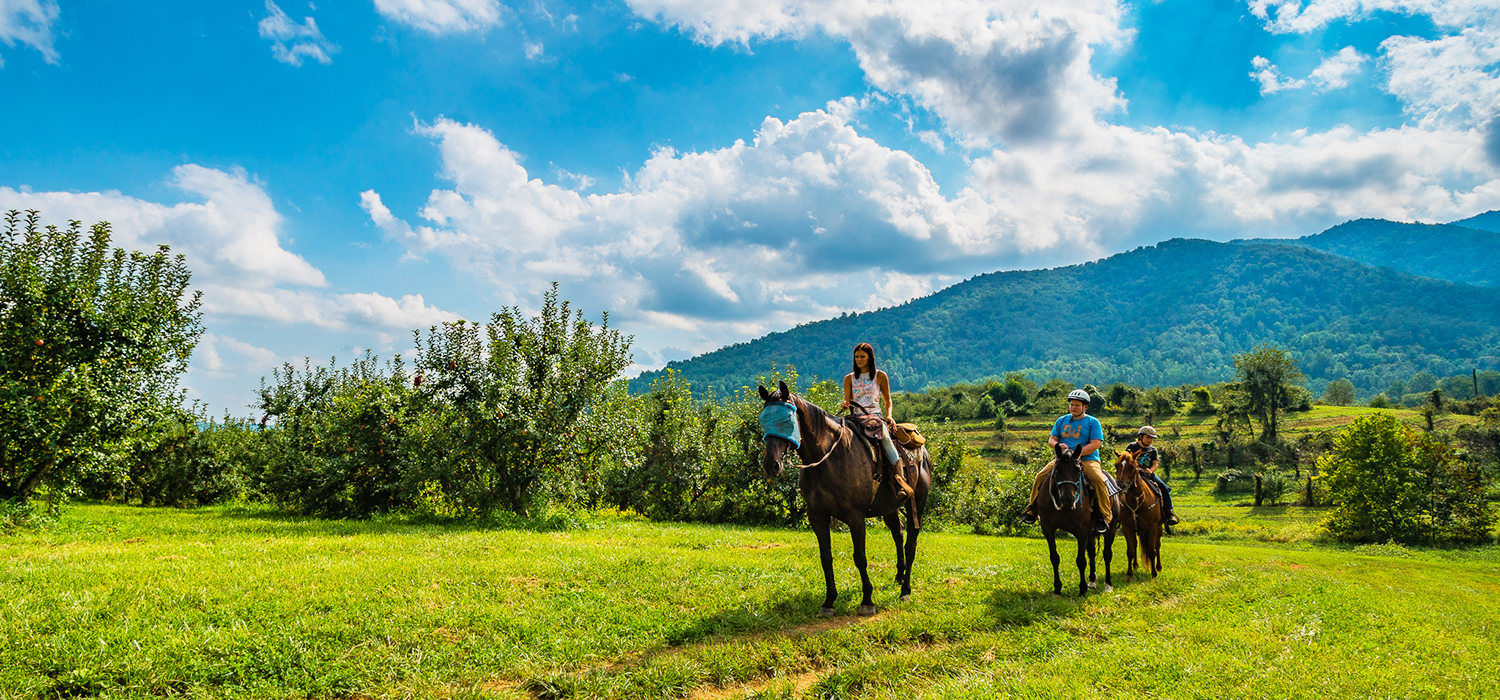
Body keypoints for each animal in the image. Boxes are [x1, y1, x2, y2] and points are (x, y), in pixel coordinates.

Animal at [758, 381, 931, 617]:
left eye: (786, 421)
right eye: (764, 421)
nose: (771, 465)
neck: (829, 458)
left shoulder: (855, 516)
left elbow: (860, 557)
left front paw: (867, 600)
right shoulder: (817, 515)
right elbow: (826, 557)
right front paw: (829, 600)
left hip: (918, 503)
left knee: (910, 543)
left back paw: (905, 590)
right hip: (889, 508)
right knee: (898, 533)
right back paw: (899, 576)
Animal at [1037, 443, 1118, 597]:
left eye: (1078, 470)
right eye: (1057, 470)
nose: (1068, 499)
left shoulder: (1082, 530)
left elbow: (1081, 560)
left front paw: (1082, 589)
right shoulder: (1047, 528)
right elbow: (1054, 557)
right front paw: (1057, 588)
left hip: (1111, 527)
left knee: (1107, 554)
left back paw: (1108, 585)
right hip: (1092, 532)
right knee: (1092, 552)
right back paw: (1092, 581)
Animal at [1114, 448, 1164, 581]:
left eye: (1132, 467)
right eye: (1116, 465)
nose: (1121, 486)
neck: (1137, 501)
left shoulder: (1152, 527)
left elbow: (1151, 551)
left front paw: (1154, 574)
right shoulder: (1127, 528)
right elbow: (1130, 550)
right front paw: (1129, 574)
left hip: (1159, 528)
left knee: (1157, 545)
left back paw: (1159, 567)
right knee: (1136, 546)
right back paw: (1135, 565)